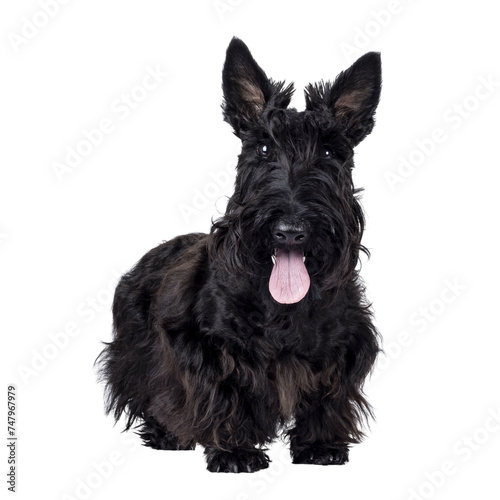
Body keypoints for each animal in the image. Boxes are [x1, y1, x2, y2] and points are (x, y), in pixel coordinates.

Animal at [95, 38, 380, 472]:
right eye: (262, 148)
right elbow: (224, 394)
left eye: (332, 153)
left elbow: (327, 394)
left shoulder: (343, 347)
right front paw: (235, 451)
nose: (290, 230)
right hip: (135, 352)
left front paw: (321, 445)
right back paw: (167, 434)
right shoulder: (207, 349)